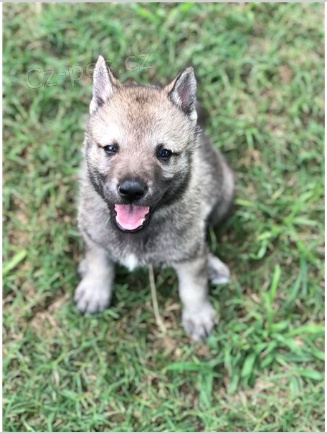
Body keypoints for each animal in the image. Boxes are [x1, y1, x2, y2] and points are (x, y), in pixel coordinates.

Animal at [75, 56, 234, 340]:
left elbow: (193, 288)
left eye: (164, 153)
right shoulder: (94, 237)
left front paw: (198, 314)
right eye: (110, 148)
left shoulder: (189, 258)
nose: (131, 190)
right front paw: (94, 290)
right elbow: (99, 263)